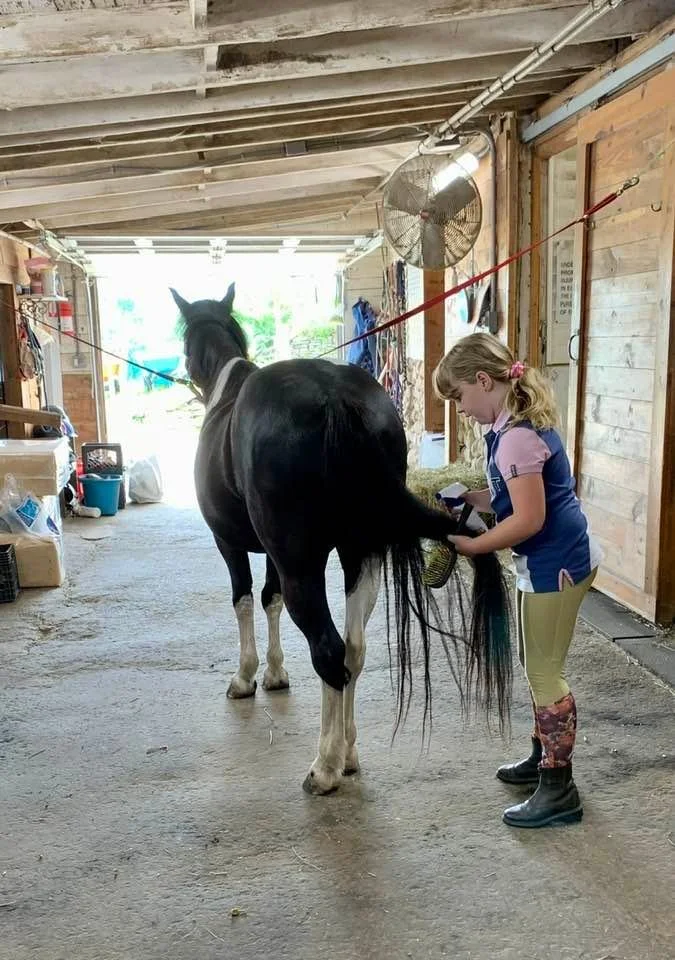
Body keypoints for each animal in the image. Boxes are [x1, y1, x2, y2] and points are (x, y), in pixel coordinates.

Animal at [171, 284, 511, 795]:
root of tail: (335, 399)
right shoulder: (273, 554)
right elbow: (269, 600)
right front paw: (275, 673)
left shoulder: (230, 544)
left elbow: (245, 601)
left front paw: (246, 678)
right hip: (359, 554)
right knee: (354, 649)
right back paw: (348, 753)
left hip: (304, 563)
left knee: (330, 651)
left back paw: (325, 767)